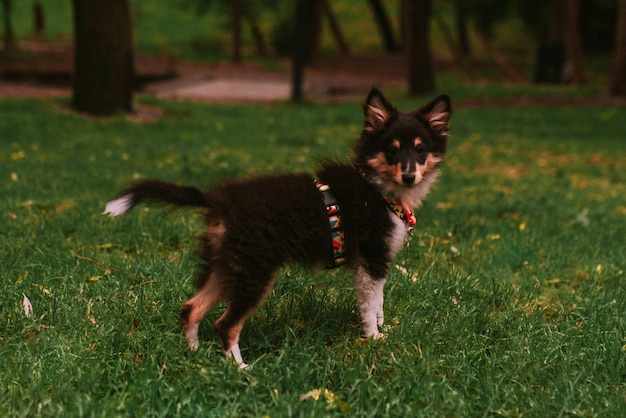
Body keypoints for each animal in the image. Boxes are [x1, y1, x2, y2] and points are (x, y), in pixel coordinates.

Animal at [105, 89, 450, 366]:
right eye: (392, 150)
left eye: (420, 150)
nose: (409, 176)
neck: (377, 187)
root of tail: (220, 199)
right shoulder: (372, 258)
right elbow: (371, 302)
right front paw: (374, 337)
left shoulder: (375, 263)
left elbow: (378, 302)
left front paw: (383, 328)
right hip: (255, 270)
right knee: (225, 324)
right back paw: (241, 369)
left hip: (227, 265)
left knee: (190, 308)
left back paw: (195, 354)